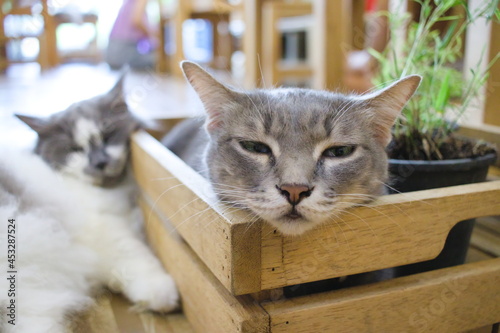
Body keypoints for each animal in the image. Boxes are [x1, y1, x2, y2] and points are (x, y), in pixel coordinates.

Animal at [0, 76, 179, 332]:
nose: (100, 162)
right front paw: (162, 295)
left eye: (107, 136)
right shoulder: (106, 228)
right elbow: (137, 254)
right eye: (75, 150)